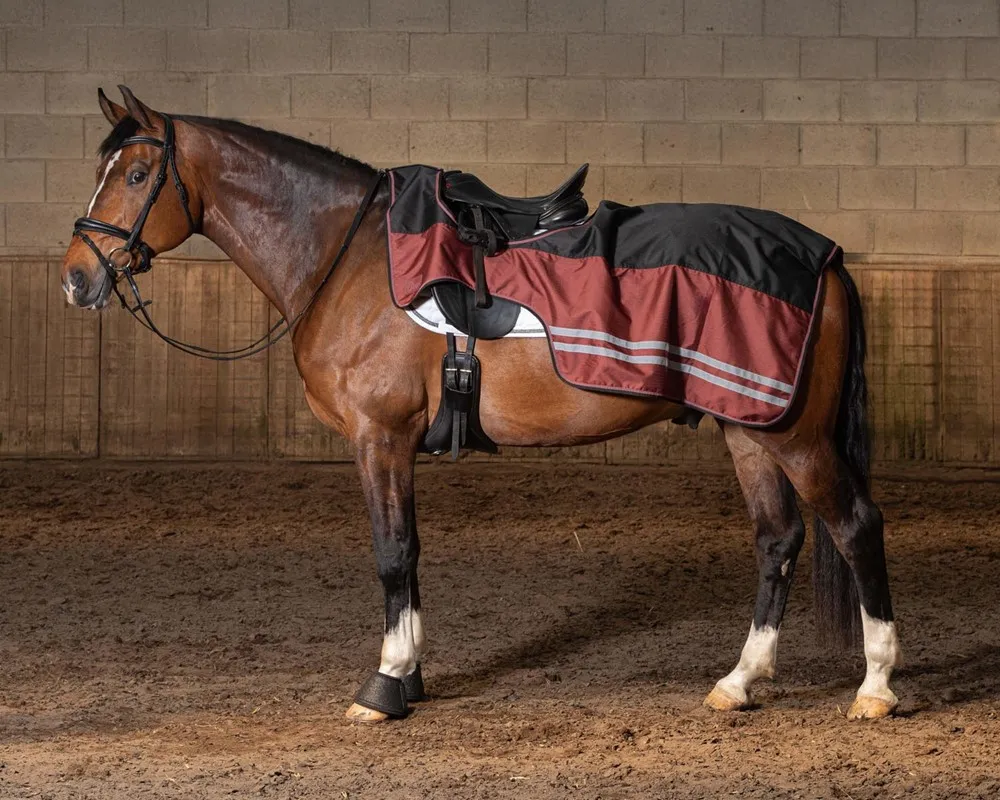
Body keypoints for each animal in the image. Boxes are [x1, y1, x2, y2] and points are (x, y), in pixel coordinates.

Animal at [61, 87, 902, 723]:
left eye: (137, 174)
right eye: (101, 169)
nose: (76, 278)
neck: (347, 258)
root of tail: (823, 256)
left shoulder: (379, 437)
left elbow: (393, 553)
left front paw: (386, 685)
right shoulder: (391, 444)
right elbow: (410, 554)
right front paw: (410, 674)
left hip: (797, 437)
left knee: (855, 526)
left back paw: (876, 686)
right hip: (749, 430)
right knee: (778, 540)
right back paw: (739, 682)